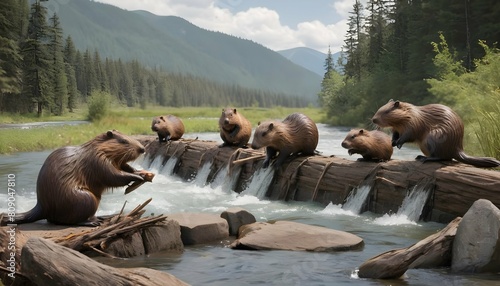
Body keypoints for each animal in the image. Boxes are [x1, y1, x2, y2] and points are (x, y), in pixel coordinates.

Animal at [0, 130, 153, 226]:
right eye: (123, 141)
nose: (142, 149)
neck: (96, 148)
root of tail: (41, 207)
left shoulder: (114, 161)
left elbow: (124, 166)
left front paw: (142, 172)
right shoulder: (96, 160)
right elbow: (112, 176)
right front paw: (137, 176)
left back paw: (101, 217)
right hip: (85, 198)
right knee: (69, 220)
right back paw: (93, 222)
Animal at [372, 100, 500, 169]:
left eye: (387, 111)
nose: (374, 120)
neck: (410, 113)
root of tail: (458, 150)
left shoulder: (414, 122)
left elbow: (409, 135)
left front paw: (398, 143)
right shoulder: (397, 128)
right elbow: (395, 134)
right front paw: (393, 142)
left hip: (433, 137)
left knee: (442, 157)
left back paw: (424, 158)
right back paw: (419, 156)